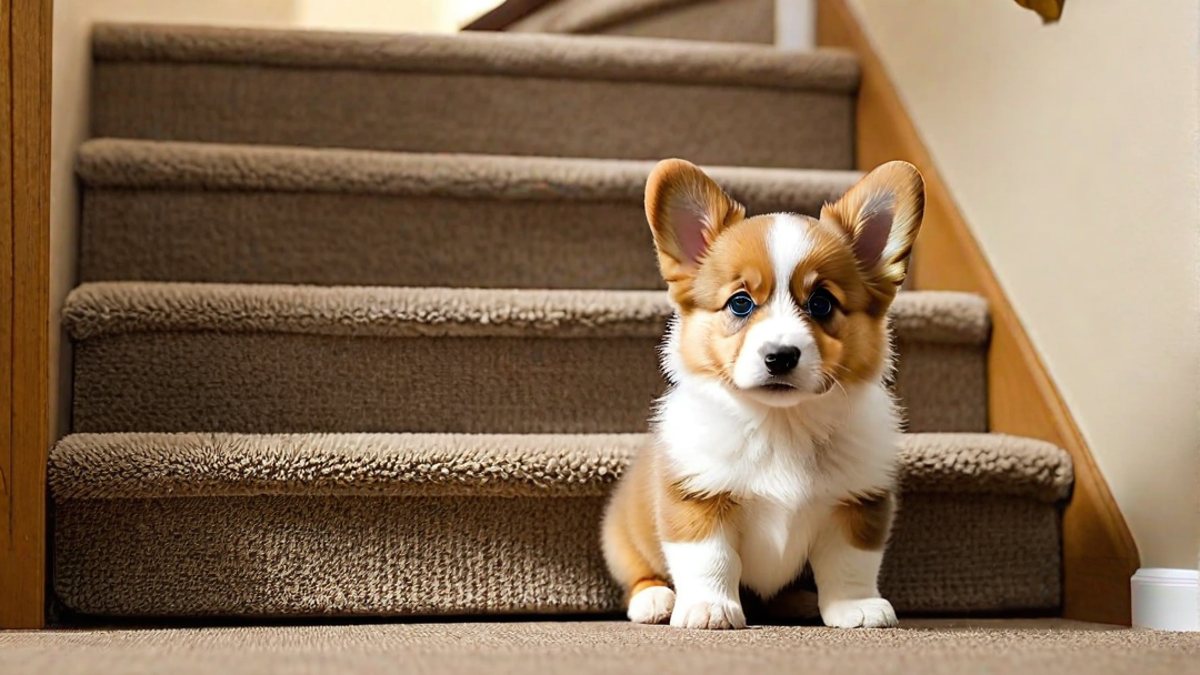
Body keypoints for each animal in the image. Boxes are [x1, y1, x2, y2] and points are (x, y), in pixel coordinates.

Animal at [604, 156, 921, 624]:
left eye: (822, 303)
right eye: (740, 303)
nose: (781, 356)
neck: (782, 423)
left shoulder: (858, 501)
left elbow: (850, 564)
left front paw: (856, 608)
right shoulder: (696, 498)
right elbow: (711, 560)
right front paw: (709, 609)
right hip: (622, 534)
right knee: (638, 572)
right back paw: (655, 599)